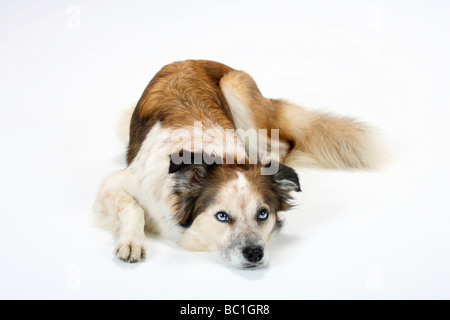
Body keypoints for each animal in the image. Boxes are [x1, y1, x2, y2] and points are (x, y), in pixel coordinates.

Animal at [94, 59, 380, 268]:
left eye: (263, 214)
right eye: (222, 216)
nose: (254, 253)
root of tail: (187, 59)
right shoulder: (115, 183)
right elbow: (133, 207)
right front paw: (132, 242)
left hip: (240, 95)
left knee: (285, 145)